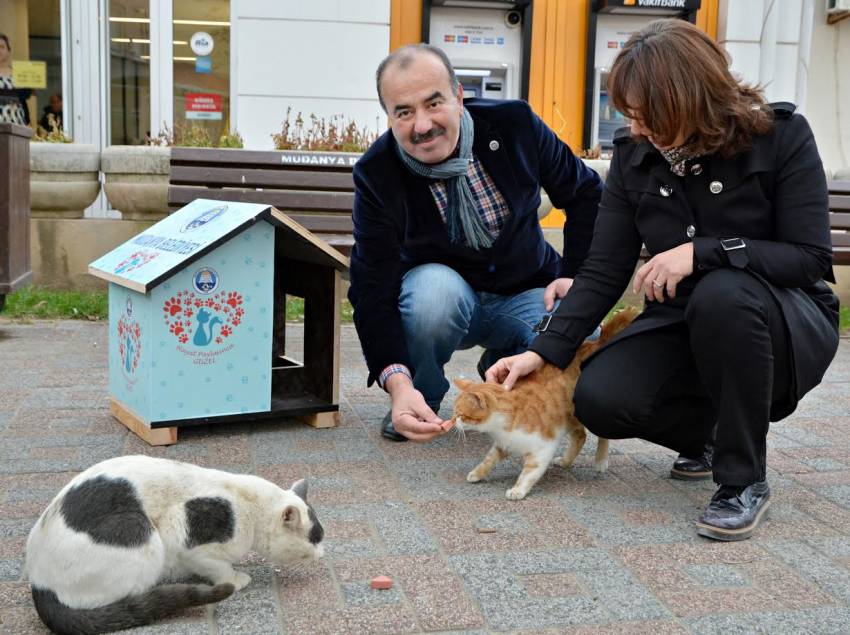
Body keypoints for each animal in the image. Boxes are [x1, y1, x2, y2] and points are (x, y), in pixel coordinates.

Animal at [25, 458, 324, 635]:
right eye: (315, 538)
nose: (323, 553)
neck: (248, 503)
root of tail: (39, 583)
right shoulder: (185, 539)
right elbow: (219, 569)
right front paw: (235, 579)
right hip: (141, 533)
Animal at [450, 310, 636, 502]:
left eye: (460, 414)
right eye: (454, 413)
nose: (452, 422)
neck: (500, 426)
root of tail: (593, 343)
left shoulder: (543, 449)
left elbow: (529, 473)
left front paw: (518, 490)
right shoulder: (503, 443)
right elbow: (489, 459)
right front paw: (477, 473)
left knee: (601, 435)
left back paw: (601, 460)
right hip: (570, 419)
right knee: (581, 437)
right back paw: (566, 461)